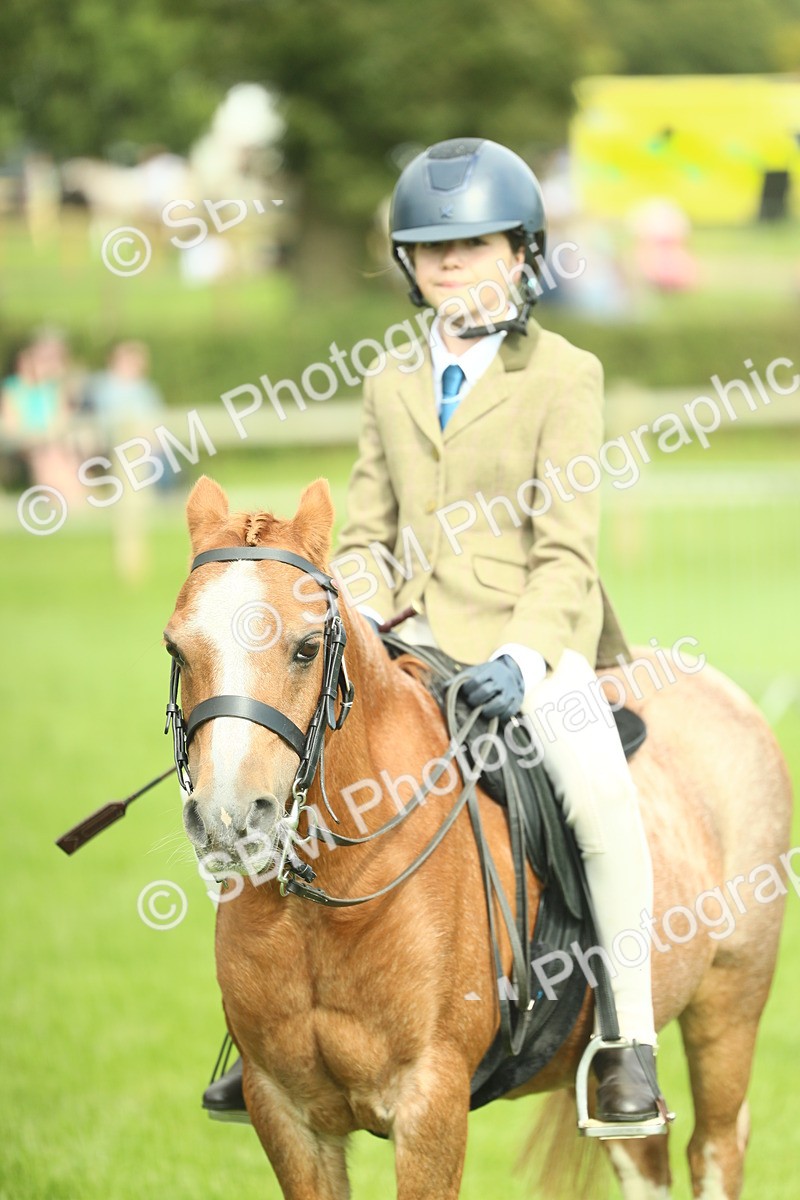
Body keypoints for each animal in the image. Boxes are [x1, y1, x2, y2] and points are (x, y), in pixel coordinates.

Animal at [164, 474, 792, 1200]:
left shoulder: (430, 1102)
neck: (325, 902)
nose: (229, 820)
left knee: (716, 1144)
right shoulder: (285, 1112)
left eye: (306, 648)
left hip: (730, 1002)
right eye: (176, 648)